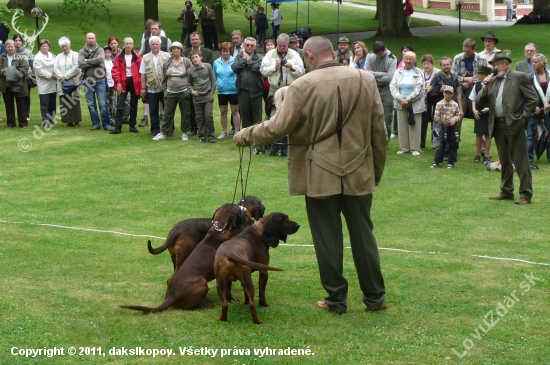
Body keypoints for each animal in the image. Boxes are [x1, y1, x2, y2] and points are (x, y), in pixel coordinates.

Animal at [122, 203, 253, 312]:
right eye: (238, 209)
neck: (219, 230)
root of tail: (173, 295)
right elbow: (228, 290)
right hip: (201, 281)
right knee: (191, 307)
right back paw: (207, 305)